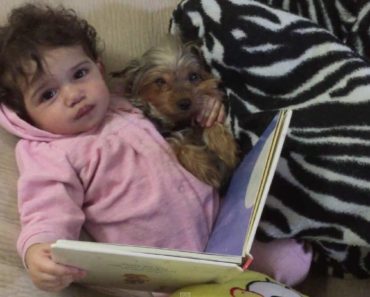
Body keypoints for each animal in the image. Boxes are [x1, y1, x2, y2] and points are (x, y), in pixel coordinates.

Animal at [112, 36, 238, 190]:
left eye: (193, 76)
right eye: (160, 81)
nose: (185, 103)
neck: (179, 123)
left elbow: (212, 124)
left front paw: (225, 149)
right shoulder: (165, 136)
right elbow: (179, 145)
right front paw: (206, 169)